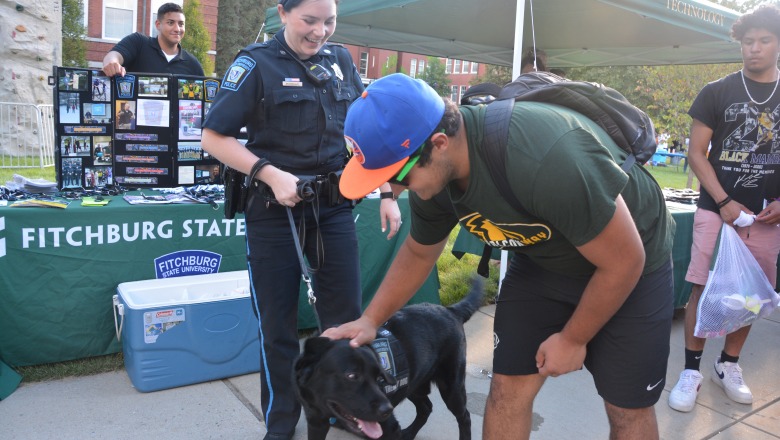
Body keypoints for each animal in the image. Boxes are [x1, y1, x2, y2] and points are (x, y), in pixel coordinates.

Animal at [294, 278, 482, 440]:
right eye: (352, 376)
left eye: (378, 377)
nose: (387, 410)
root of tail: (450, 310)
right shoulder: (315, 421)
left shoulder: (388, 428)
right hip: (414, 385)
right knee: (426, 408)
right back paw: (409, 433)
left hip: (451, 387)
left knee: (464, 416)